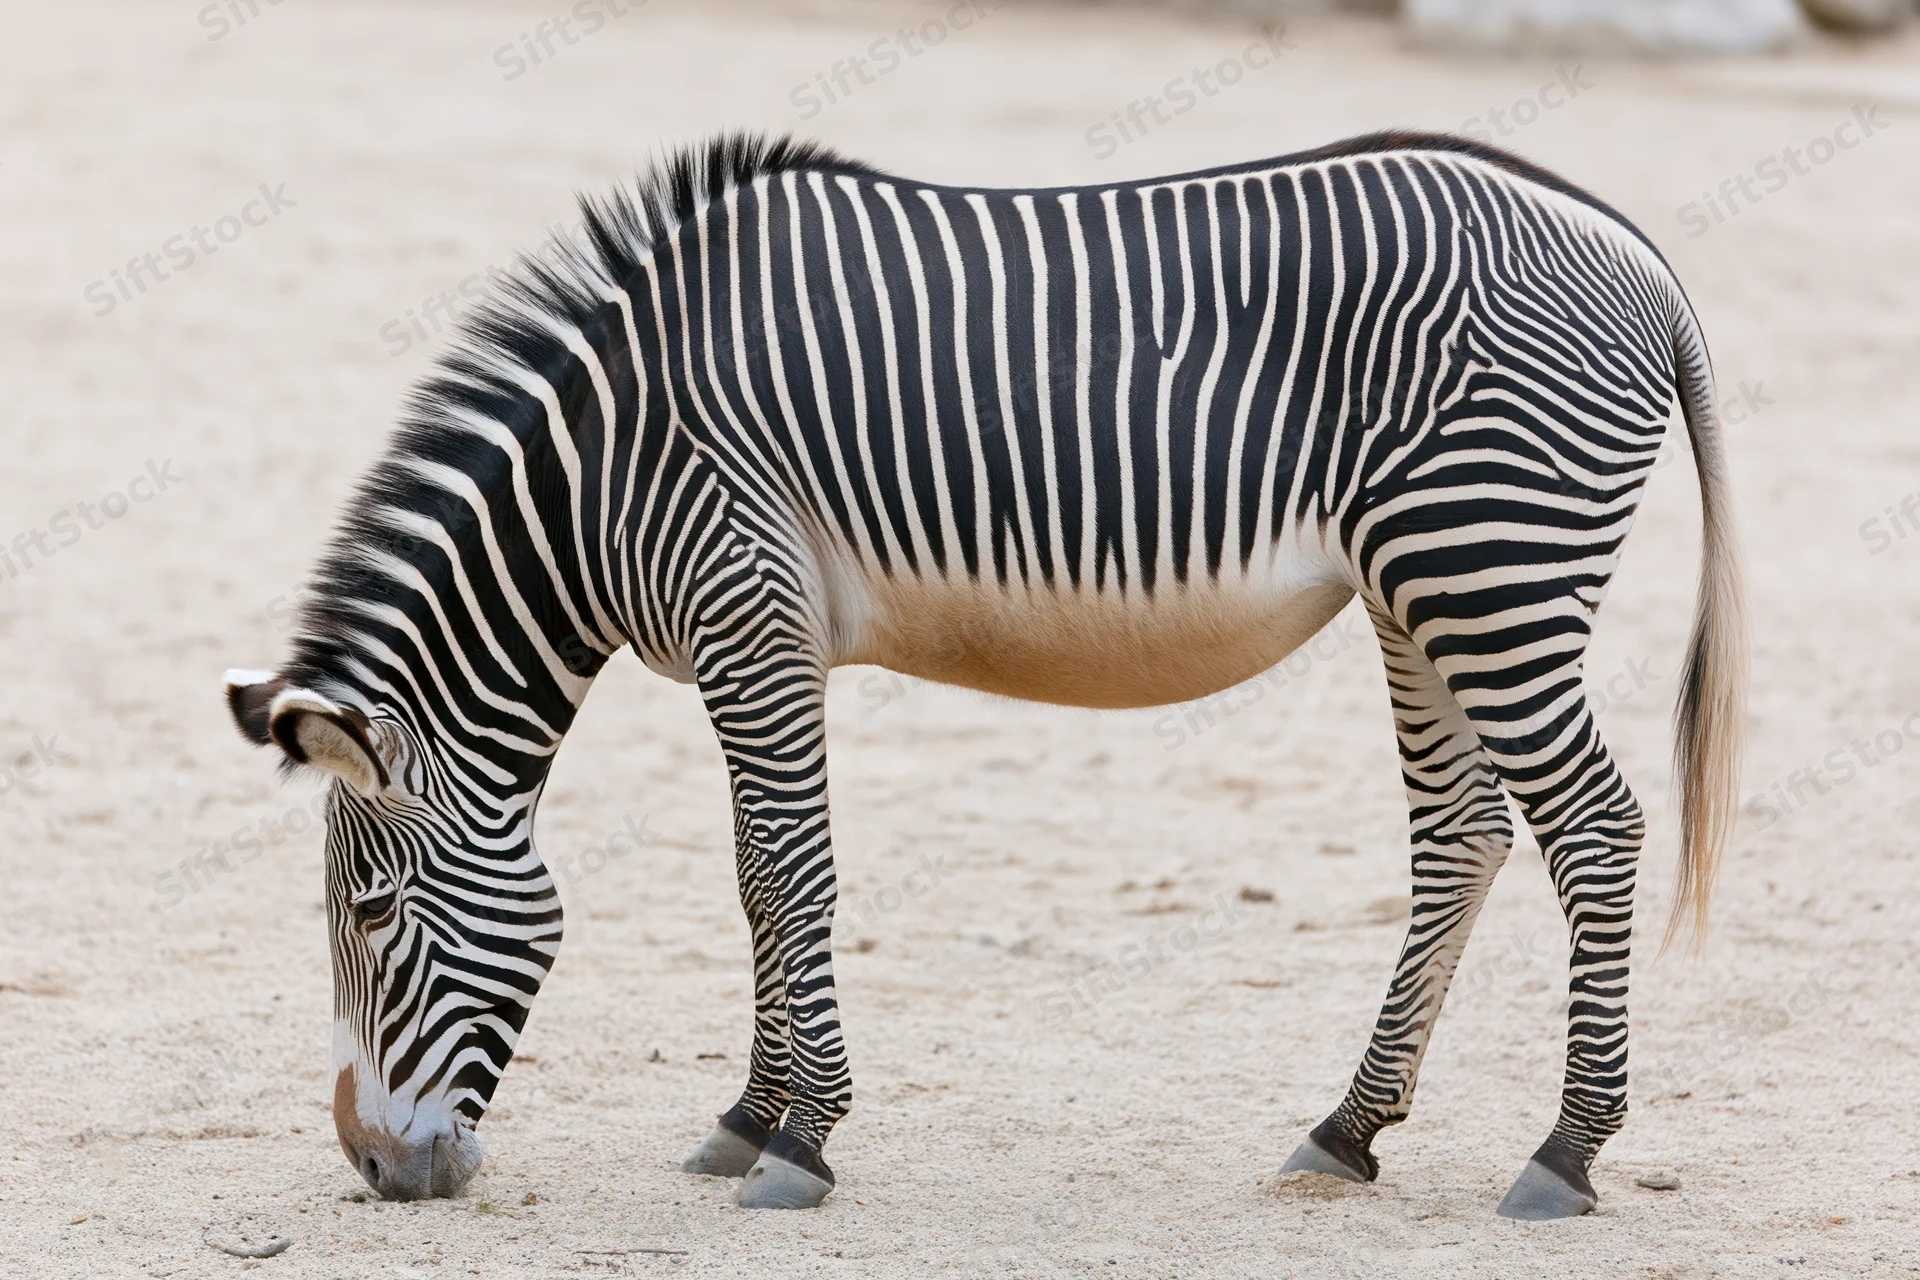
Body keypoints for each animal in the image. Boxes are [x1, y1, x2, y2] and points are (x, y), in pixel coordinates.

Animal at [224, 130, 1745, 1218]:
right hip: (1420, 589)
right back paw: (1347, 1128)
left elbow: (791, 871)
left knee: (1595, 826)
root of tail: (1641, 257)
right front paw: (747, 1117)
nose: (375, 1170)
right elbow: (753, 876)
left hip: (1486, 567)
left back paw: (1564, 1153)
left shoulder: (749, 613)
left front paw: (803, 1140)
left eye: (368, 912)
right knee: (1464, 832)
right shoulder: (744, 645)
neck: (605, 472)